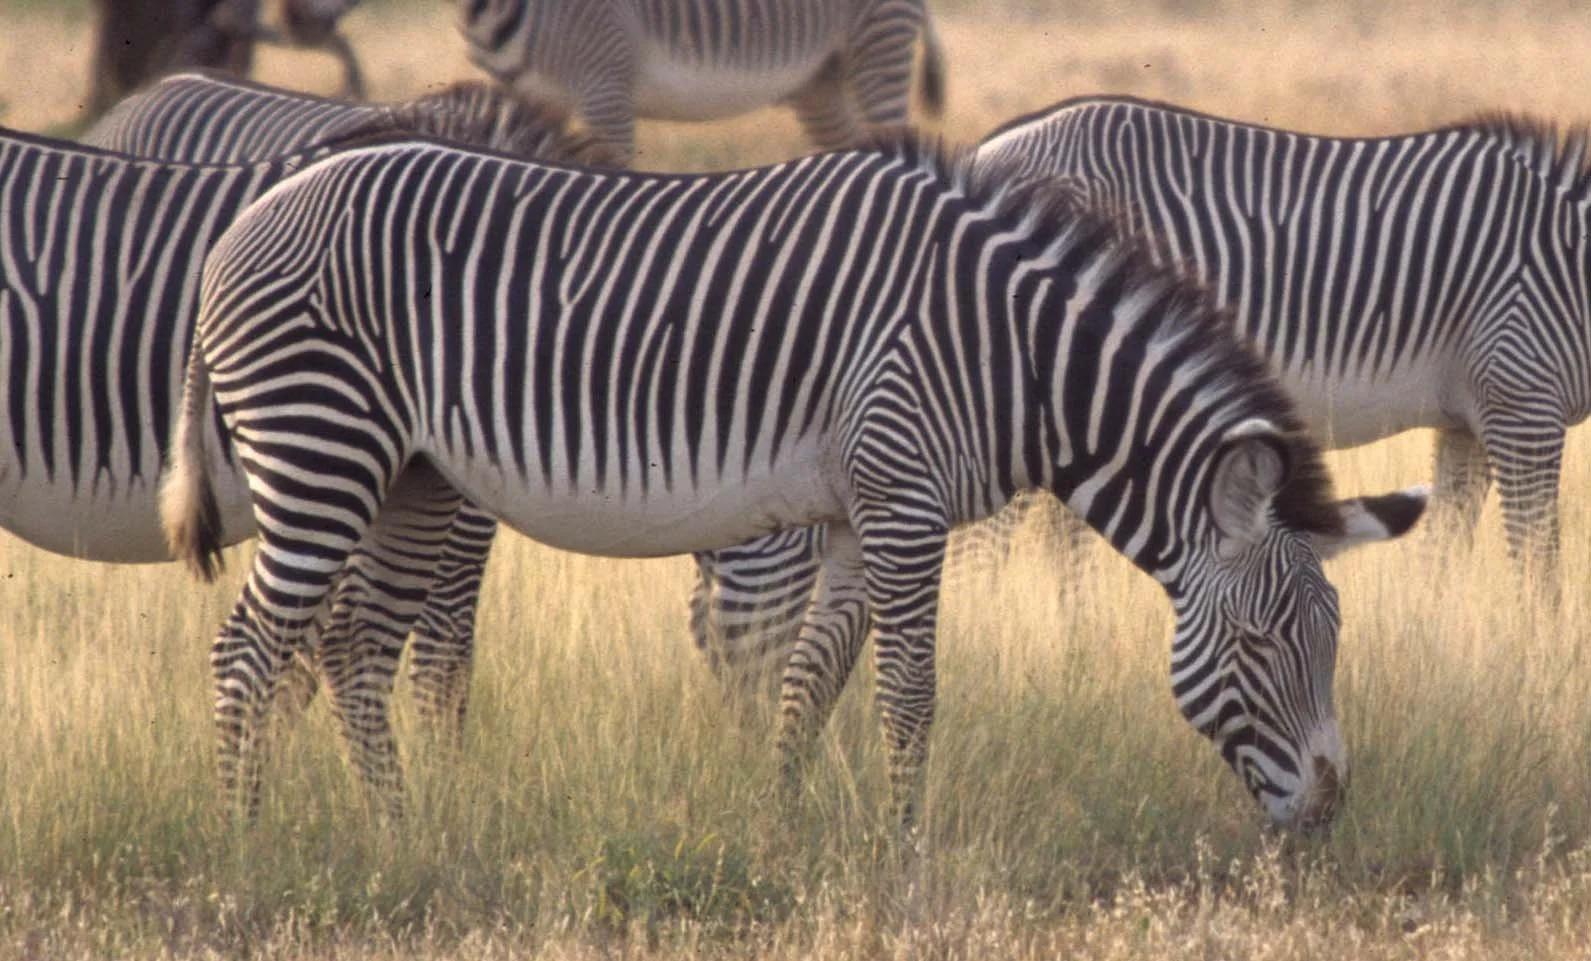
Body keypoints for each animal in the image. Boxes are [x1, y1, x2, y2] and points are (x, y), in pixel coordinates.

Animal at [161, 134, 1427, 831]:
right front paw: (904, 849)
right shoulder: (907, 502)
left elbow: (810, 682)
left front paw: (782, 822)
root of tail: (239, 225)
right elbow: (908, 696)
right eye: (1262, 646)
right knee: (247, 652)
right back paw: (248, 837)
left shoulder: (865, 512)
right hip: (324, 448)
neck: (1008, 349)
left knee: (351, 652)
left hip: (412, 475)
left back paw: (400, 830)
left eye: (1333, 640)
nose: (1328, 810)